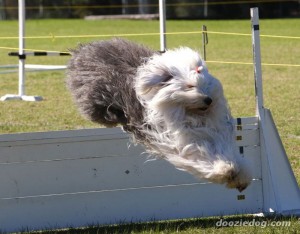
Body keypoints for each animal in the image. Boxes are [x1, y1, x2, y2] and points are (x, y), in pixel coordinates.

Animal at [67, 38, 252, 192]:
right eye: (190, 86)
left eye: (207, 85)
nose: (208, 100)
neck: (190, 115)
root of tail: (83, 48)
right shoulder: (177, 140)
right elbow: (199, 153)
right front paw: (224, 170)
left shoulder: (215, 133)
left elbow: (226, 150)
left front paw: (240, 176)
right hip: (94, 99)